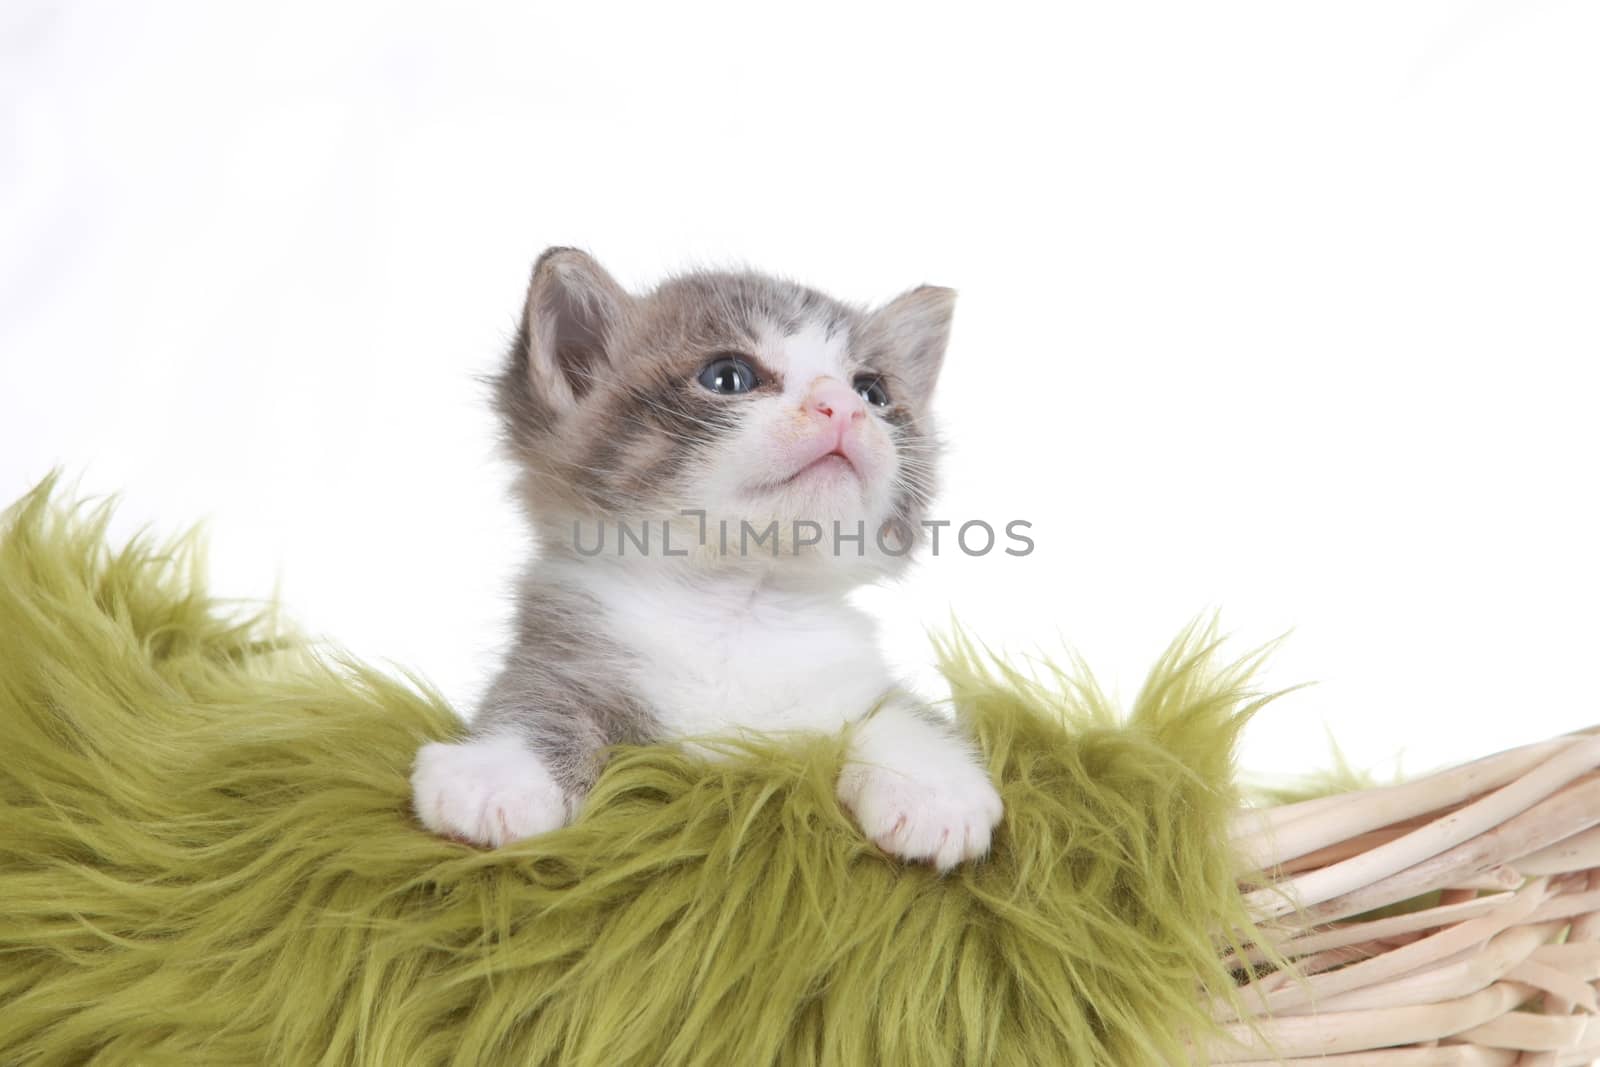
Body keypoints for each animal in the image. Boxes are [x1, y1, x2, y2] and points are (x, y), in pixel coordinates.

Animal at [419, 254, 1004, 870]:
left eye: (873, 391)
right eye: (728, 377)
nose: (844, 407)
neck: (739, 604)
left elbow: (899, 712)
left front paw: (934, 790)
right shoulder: (564, 653)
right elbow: (536, 699)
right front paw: (498, 774)